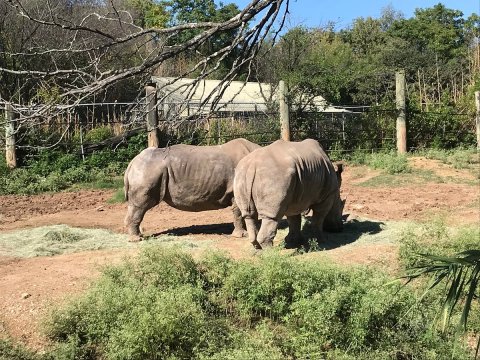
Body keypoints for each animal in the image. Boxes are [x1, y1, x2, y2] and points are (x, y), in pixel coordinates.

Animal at [123, 138, 258, 239]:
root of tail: (132, 163)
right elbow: (238, 212)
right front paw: (243, 235)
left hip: (147, 170)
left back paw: (138, 236)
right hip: (147, 171)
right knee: (140, 204)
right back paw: (137, 239)